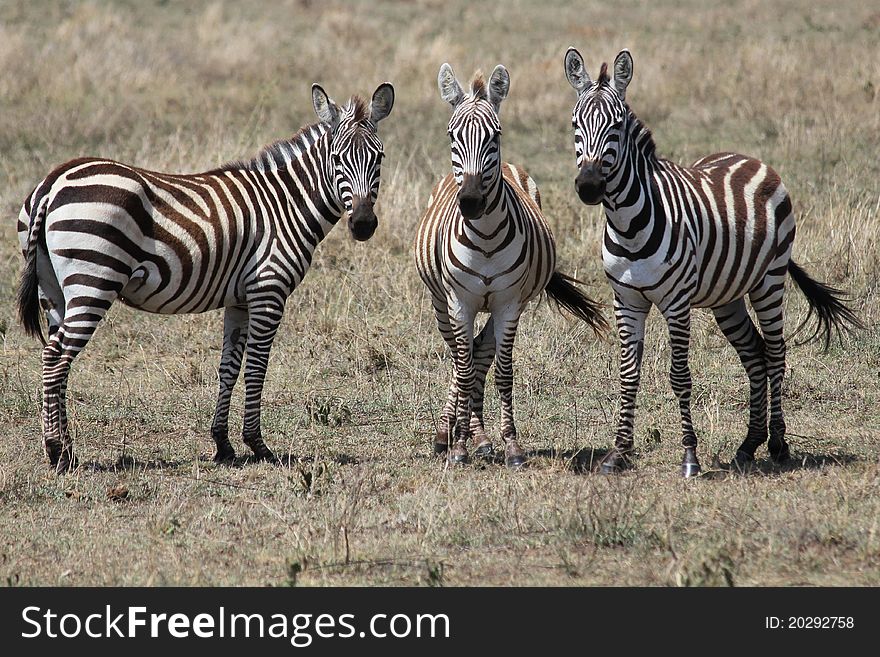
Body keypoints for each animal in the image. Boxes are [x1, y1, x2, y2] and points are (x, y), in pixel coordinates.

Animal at [16, 82, 396, 472]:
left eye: (379, 158)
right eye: (337, 158)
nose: (363, 225)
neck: (285, 204)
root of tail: (53, 181)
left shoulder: (239, 300)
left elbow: (229, 367)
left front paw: (223, 444)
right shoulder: (268, 290)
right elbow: (256, 367)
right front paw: (258, 445)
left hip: (54, 292)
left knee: (52, 355)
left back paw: (67, 450)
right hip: (93, 281)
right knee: (57, 358)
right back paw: (57, 453)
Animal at [416, 62, 608, 466]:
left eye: (495, 135)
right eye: (452, 136)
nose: (471, 201)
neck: (486, 238)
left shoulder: (507, 303)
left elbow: (503, 371)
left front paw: (510, 445)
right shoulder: (460, 302)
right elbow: (462, 368)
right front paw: (458, 447)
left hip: (508, 303)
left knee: (479, 353)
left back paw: (480, 437)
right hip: (441, 302)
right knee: (459, 358)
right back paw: (446, 433)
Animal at [564, 47, 860, 476]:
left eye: (616, 127)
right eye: (575, 124)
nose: (588, 187)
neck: (628, 224)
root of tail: (750, 158)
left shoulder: (676, 303)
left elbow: (679, 376)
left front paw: (690, 457)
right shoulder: (627, 300)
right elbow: (628, 374)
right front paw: (618, 453)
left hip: (769, 280)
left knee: (776, 352)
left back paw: (778, 444)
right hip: (728, 297)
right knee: (754, 353)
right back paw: (749, 444)